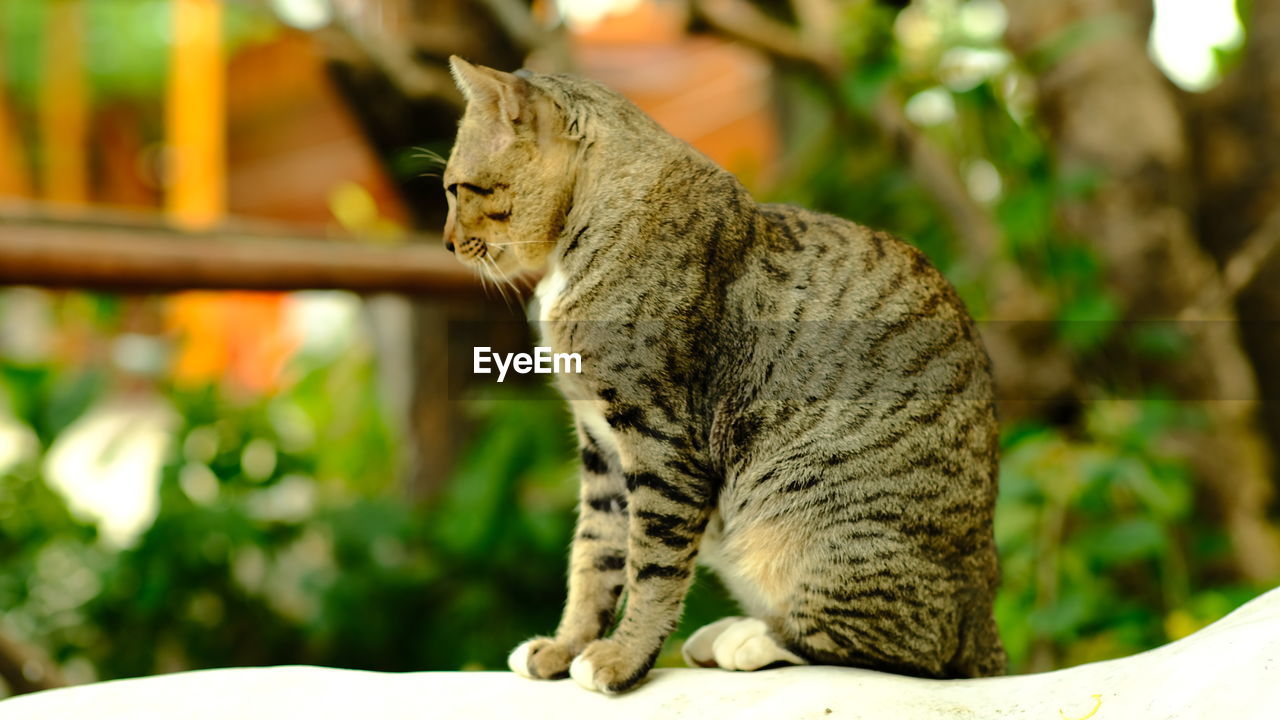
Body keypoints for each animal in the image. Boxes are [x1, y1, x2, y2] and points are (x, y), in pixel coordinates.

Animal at [445, 58, 1003, 691]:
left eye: (456, 188)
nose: (447, 242)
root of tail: (982, 617)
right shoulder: (601, 448)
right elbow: (594, 556)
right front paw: (567, 646)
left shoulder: (662, 441)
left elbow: (651, 566)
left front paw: (623, 658)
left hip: (807, 519)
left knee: (913, 650)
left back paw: (751, 638)